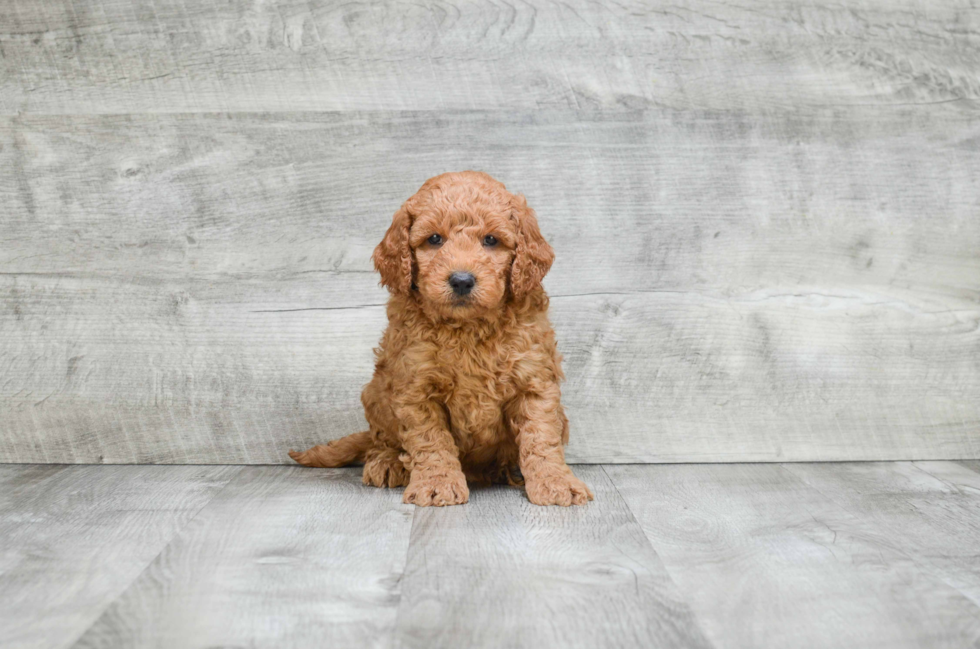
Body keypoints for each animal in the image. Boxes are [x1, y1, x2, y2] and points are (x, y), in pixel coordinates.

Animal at [288, 170, 592, 504]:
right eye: (434, 239)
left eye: (491, 240)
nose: (461, 280)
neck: (468, 328)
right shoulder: (416, 388)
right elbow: (431, 441)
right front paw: (437, 484)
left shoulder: (533, 380)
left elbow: (541, 437)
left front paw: (556, 482)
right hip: (376, 393)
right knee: (381, 440)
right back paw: (388, 463)